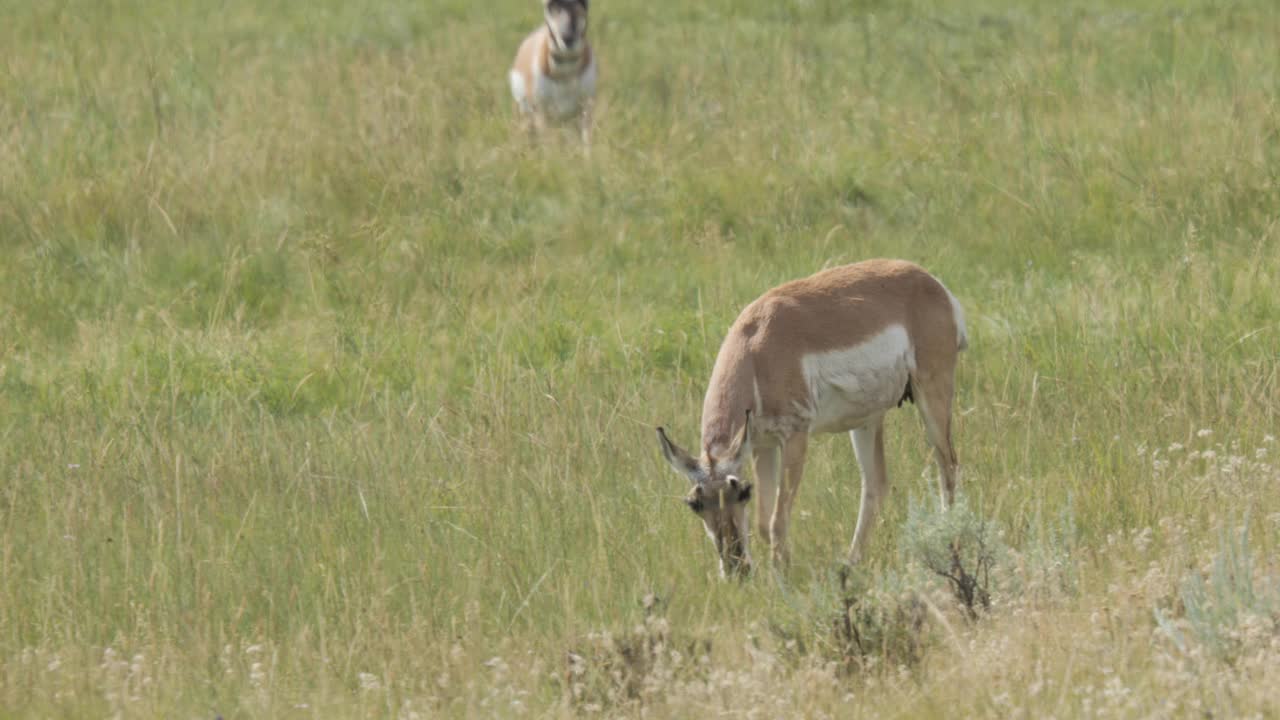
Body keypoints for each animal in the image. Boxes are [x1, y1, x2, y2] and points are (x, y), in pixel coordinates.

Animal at [504, 0, 593, 146]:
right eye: (549, 5)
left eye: (584, 3)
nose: (567, 37)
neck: (564, 75)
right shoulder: (541, 111)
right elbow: (548, 142)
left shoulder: (586, 107)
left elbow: (586, 142)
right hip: (525, 115)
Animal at [655, 258, 962, 576]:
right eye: (694, 503)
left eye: (742, 492)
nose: (736, 567)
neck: (756, 349)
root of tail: (927, 279)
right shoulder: (762, 445)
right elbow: (764, 523)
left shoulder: (795, 438)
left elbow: (778, 522)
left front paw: (784, 579)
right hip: (866, 421)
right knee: (876, 485)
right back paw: (848, 565)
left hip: (932, 397)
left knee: (948, 468)